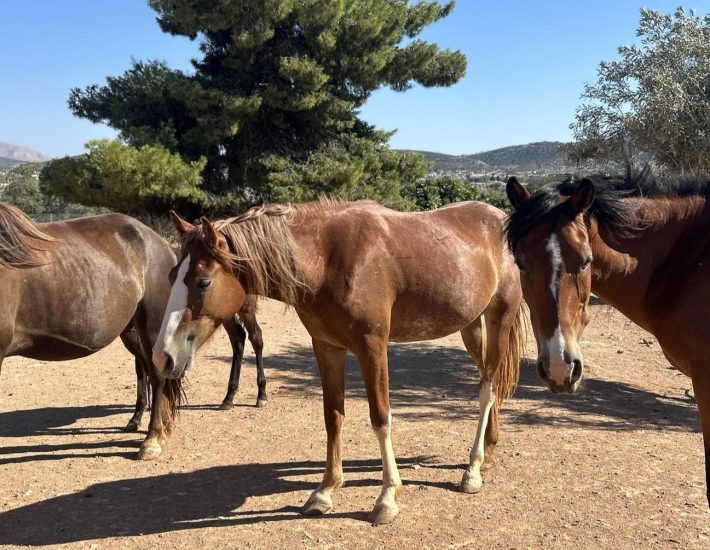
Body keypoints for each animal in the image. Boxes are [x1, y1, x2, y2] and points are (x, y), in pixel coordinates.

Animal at [153, 199, 526, 524]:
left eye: (203, 281)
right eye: (171, 276)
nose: (162, 357)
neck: (326, 260)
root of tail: (499, 219)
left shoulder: (372, 348)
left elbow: (380, 418)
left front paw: (387, 498)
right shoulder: (327, 348)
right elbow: (332, 417)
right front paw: (325, 492)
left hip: (499, 319)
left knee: (488, 389)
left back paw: (472, 469)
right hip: (470, 326)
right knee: (487, 380)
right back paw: (488, 450)